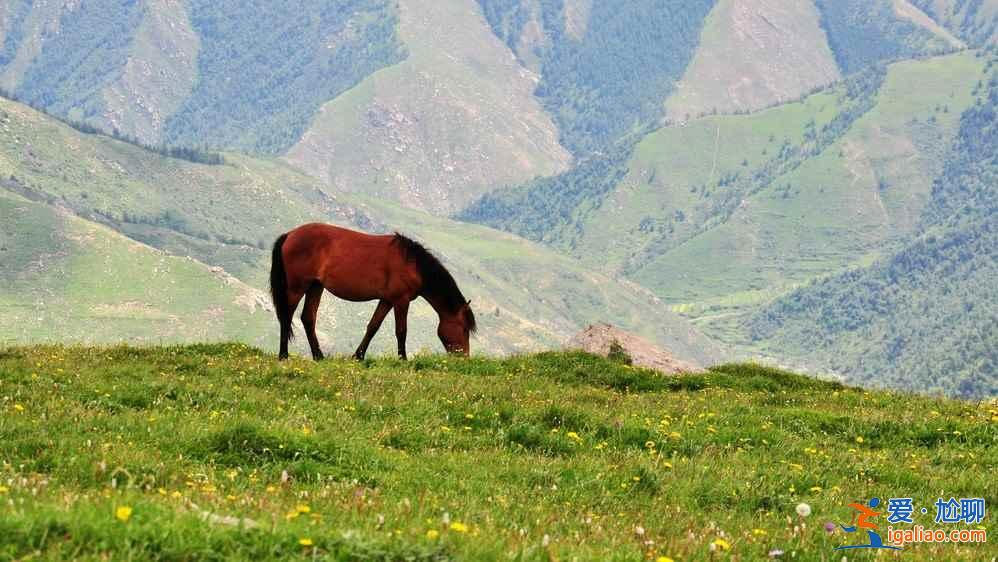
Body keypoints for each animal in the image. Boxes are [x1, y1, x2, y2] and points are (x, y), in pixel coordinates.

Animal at [270, 222, 476, 358]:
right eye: (464, 329)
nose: (464, 358)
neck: (412, 264)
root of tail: (289, 234)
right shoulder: (401, 301)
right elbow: (401, 331)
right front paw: (403, 359)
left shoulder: (387, 300)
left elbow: (373, 327)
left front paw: (358, 356)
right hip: (297, 287)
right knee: (287, 316)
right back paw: (283, 355)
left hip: (315, 286)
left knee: (307, 318)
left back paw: (318, 356)